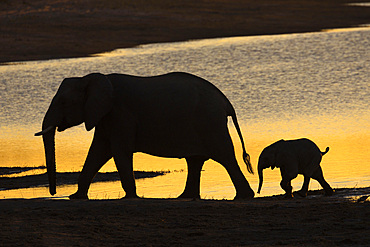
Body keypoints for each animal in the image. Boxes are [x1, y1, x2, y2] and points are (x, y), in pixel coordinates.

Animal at [35, 72, 254, 200]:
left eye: (63, 102)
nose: (53, 192)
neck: (92, 79)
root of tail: (226, 102)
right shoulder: (105, 116)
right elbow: (98, 151)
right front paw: (76, 197)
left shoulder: (121, 114)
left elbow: (118, 151)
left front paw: (130, 198)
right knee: (195, 160)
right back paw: (184, 197)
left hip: (210, 122)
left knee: (225, 157)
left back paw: (245, 197)